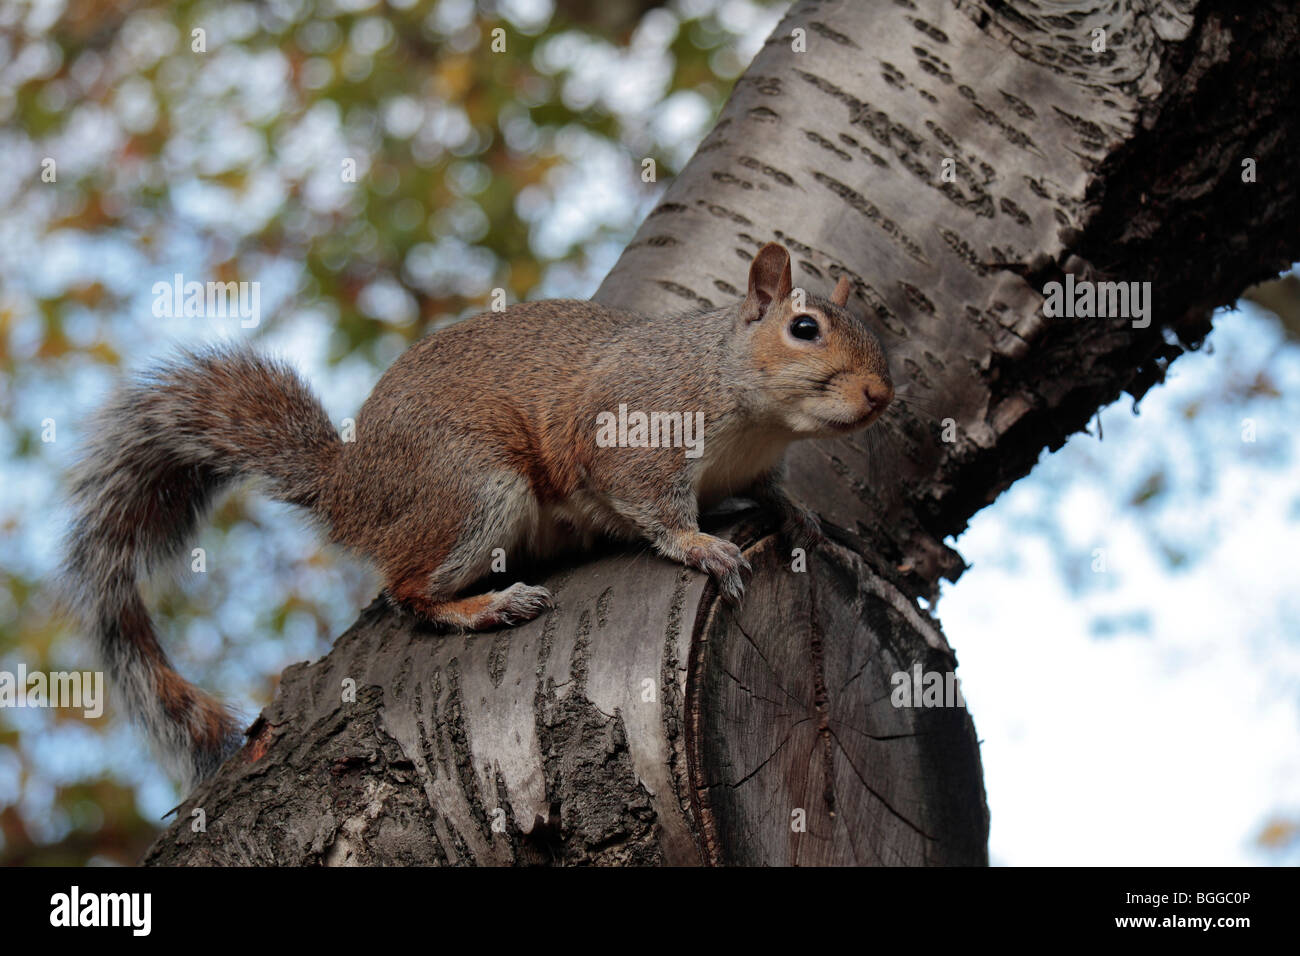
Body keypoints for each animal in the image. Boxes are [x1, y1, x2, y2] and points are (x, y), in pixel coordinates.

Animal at [61, 240, 894, 790]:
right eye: (805, 330)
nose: (881, 397)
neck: (752, 416)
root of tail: (350, 487)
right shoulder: (632, 438)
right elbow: (650, 506)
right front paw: (701, 546)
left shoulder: (755, 465)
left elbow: (779, 496)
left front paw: (812, 527)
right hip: (476, 493)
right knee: (408, 593)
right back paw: (489, 605)